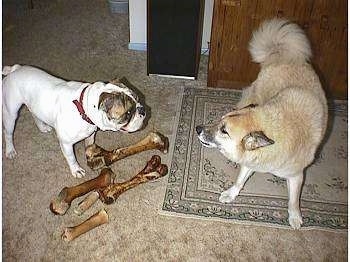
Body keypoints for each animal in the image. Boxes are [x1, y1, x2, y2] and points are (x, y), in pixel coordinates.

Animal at [197, 17, 328, 228]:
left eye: (224, 130)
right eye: (220, 120)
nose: (198, 128)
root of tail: (281, 54)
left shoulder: (296, 175)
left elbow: (293, 200)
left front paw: (294, 216)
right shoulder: (250, 159)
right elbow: (240, 180)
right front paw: (231, 193)